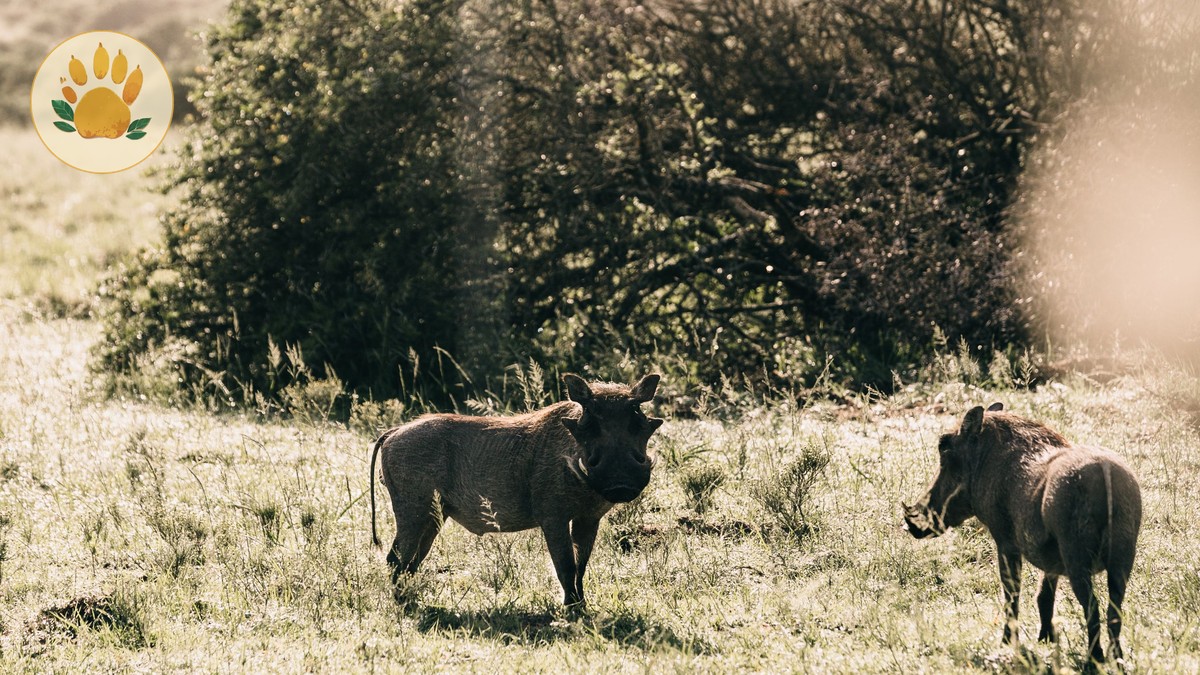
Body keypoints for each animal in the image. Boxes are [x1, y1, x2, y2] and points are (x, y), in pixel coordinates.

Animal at [369, 373, 663, 607]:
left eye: (636, 415)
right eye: (590, 415)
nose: (621, 483)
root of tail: (394, 431)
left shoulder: (589, 518)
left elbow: (581, 565)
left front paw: (582, 605)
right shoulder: (553, 518)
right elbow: (566, 565)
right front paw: (572, 610)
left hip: (433, 516)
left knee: (412, 560)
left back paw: (410, 599)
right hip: (413, 509)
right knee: (397, 558)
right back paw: (404, 604)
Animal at [903, 403, 1142, 667]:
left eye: (944, 448)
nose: (912, 525)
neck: (985, 459)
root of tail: (1105, 472)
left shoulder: (1005, 543)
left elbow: (1012, 594)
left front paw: (1007, 643)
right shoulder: (1051, 559)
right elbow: (1044, 595)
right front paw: (1046, 639)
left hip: (1076, 557)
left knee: (1093, 606)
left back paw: (1094, 659)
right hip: (1122, 557)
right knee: (1114, 609)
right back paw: (1118, 659)